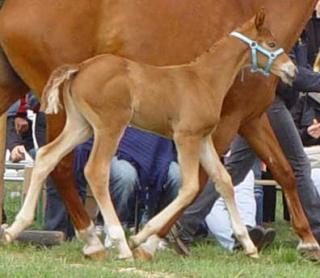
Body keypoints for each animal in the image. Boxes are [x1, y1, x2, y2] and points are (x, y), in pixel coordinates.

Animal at [0, 0, 318, 260]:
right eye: (271, 42)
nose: (291, 71)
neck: (203, 76)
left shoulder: (246, 120)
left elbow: (271, 172)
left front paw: (303, 241)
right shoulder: (211, 128)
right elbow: (196, 184)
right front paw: (150, 240)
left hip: (66, 116)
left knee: (47, 158)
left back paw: (24, 230)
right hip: (98, 124)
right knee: (81, 169)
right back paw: (106, 241)